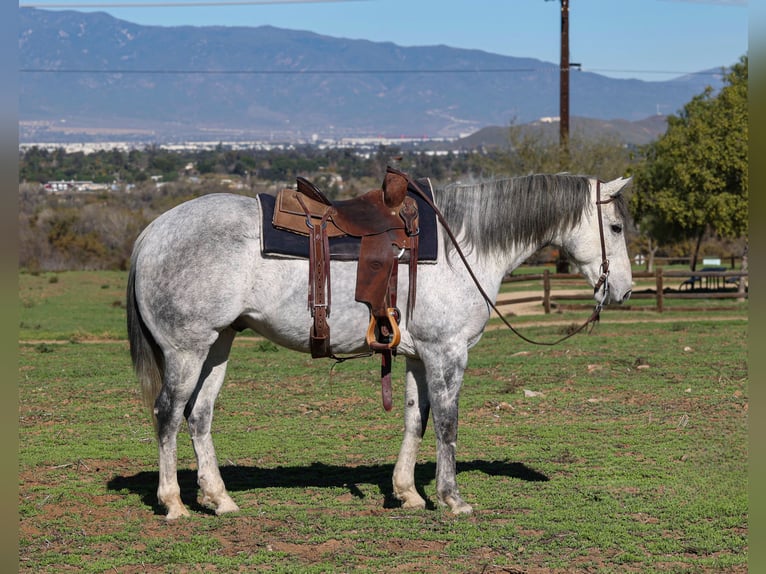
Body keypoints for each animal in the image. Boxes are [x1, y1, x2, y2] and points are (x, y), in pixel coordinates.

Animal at [127, 172, 633, 520]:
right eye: (616, 227)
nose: (624, 291)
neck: (462, 247)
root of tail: (152, 233)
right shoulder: (448, 353)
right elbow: (447, 423)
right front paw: (452, 498)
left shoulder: (418, 357)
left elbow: (416, 420)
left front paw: (407, 493)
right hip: (186, 350)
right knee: (167, 414)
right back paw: (174, 503)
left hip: (218, 345)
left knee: (198, 415)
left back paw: (220, 499)